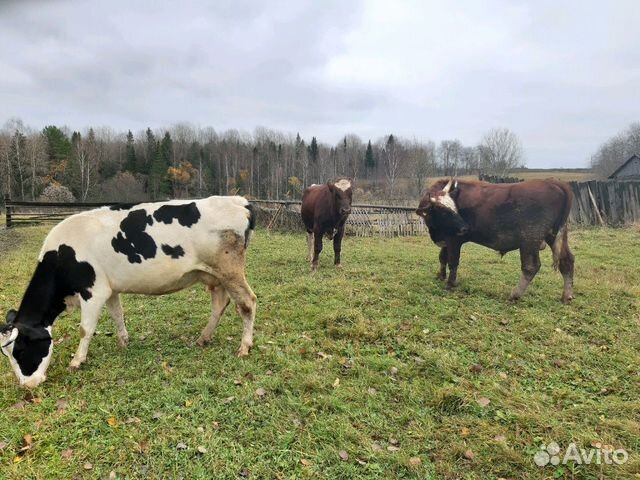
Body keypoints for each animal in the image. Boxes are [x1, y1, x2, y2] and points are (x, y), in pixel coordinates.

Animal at [0, 195, 255, 386]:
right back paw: (203, 339)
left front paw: (77, 361)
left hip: (229, 271)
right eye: (8, 353)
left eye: (20, 350)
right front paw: (123, 342)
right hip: (215, 276)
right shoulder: (110, 289)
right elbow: (117, 315)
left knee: (247, 303)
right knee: (220, 304)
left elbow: (85, 329)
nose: (27, 386)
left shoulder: (93, 291)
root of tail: (238, 201)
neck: (63, 254)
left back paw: (244, 347)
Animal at [416, 178, 576, 302]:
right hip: (555, 236)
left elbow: (452, 261)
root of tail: (554, 183)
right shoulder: (446, 240)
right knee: (567, 261)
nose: (464, 228)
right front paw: (441, 276)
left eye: (454, 208)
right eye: (443, 211)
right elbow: (442, 258)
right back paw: (566, 296)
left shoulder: (454, 240)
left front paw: (450, 284)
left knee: (531, 267)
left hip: (530, 241)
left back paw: (515, 294)